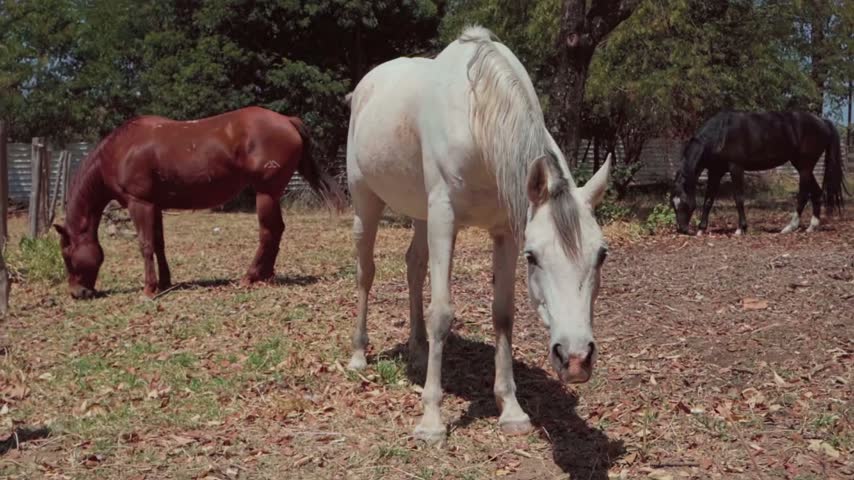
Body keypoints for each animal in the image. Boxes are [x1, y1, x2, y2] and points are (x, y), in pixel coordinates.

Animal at [54, 107, 344, 299]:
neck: (120, 150)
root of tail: (286, 120)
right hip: (270, 194)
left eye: (67, 255)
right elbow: (159, 244)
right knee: (277, 231)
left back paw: (250, 276)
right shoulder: (155, 206)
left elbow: (145, 245)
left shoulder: (140, 204)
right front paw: (165, 282)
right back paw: (265, 275)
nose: (77, 293)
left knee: (268, 232)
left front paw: (149, 289)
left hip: (266, 193)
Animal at [344, 26, 611, 442]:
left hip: (420, 214)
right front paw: (432, 421)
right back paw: (358, 355)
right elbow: (442, 312)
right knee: (366, 272)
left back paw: (418, 351)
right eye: (534, 256)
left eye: (601, 255)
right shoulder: (444, 219)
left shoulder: (505, 231)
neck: (476, 119)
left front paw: (511, 408)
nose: (575, 359)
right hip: (365, 202)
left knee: (414, 266)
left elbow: (503, 314)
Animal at [671, 111, 847, 235]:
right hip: (802, 166)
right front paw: (701, 229)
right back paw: (811, 227)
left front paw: (741, 229)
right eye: (673, 203)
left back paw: (789, 227)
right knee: (816, 193)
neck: (721, 134)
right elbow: (708, 200)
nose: (682, 229)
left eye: (684, 202)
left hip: (804, 167)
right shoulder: (715, 172)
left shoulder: (736, 168)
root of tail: (823, 122)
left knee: (803, 195)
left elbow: (738, 198)